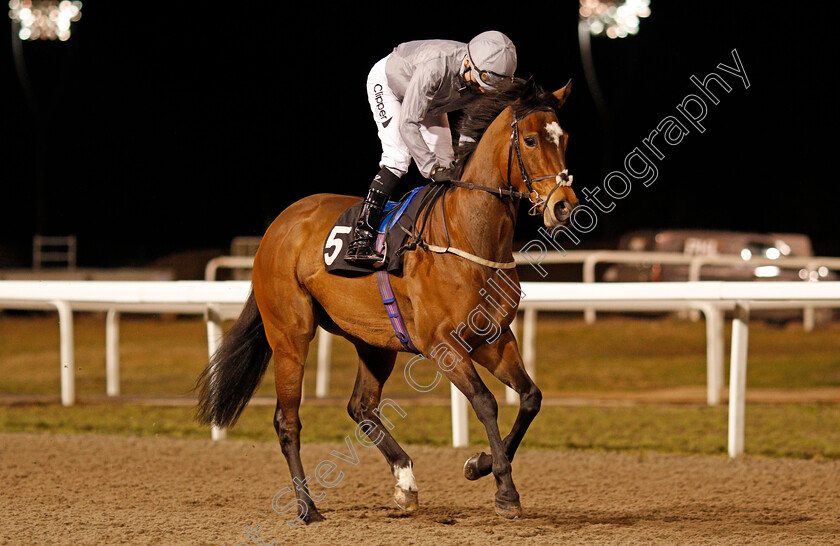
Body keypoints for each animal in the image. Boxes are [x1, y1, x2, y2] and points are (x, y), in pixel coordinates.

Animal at [196, 77, 576, 524]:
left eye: (564, 137)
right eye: (530, 139)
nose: (564, 205)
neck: (466, 235)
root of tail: (279, 226)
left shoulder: (494, 338)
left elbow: (531, 398)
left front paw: (477, 464)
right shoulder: (444, 345)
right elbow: (485, 402)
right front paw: (504, 489)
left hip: (375, 342)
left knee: (361, 407)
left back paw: (405, 482)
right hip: (290, 334)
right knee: (287, 421)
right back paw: (308, 508)